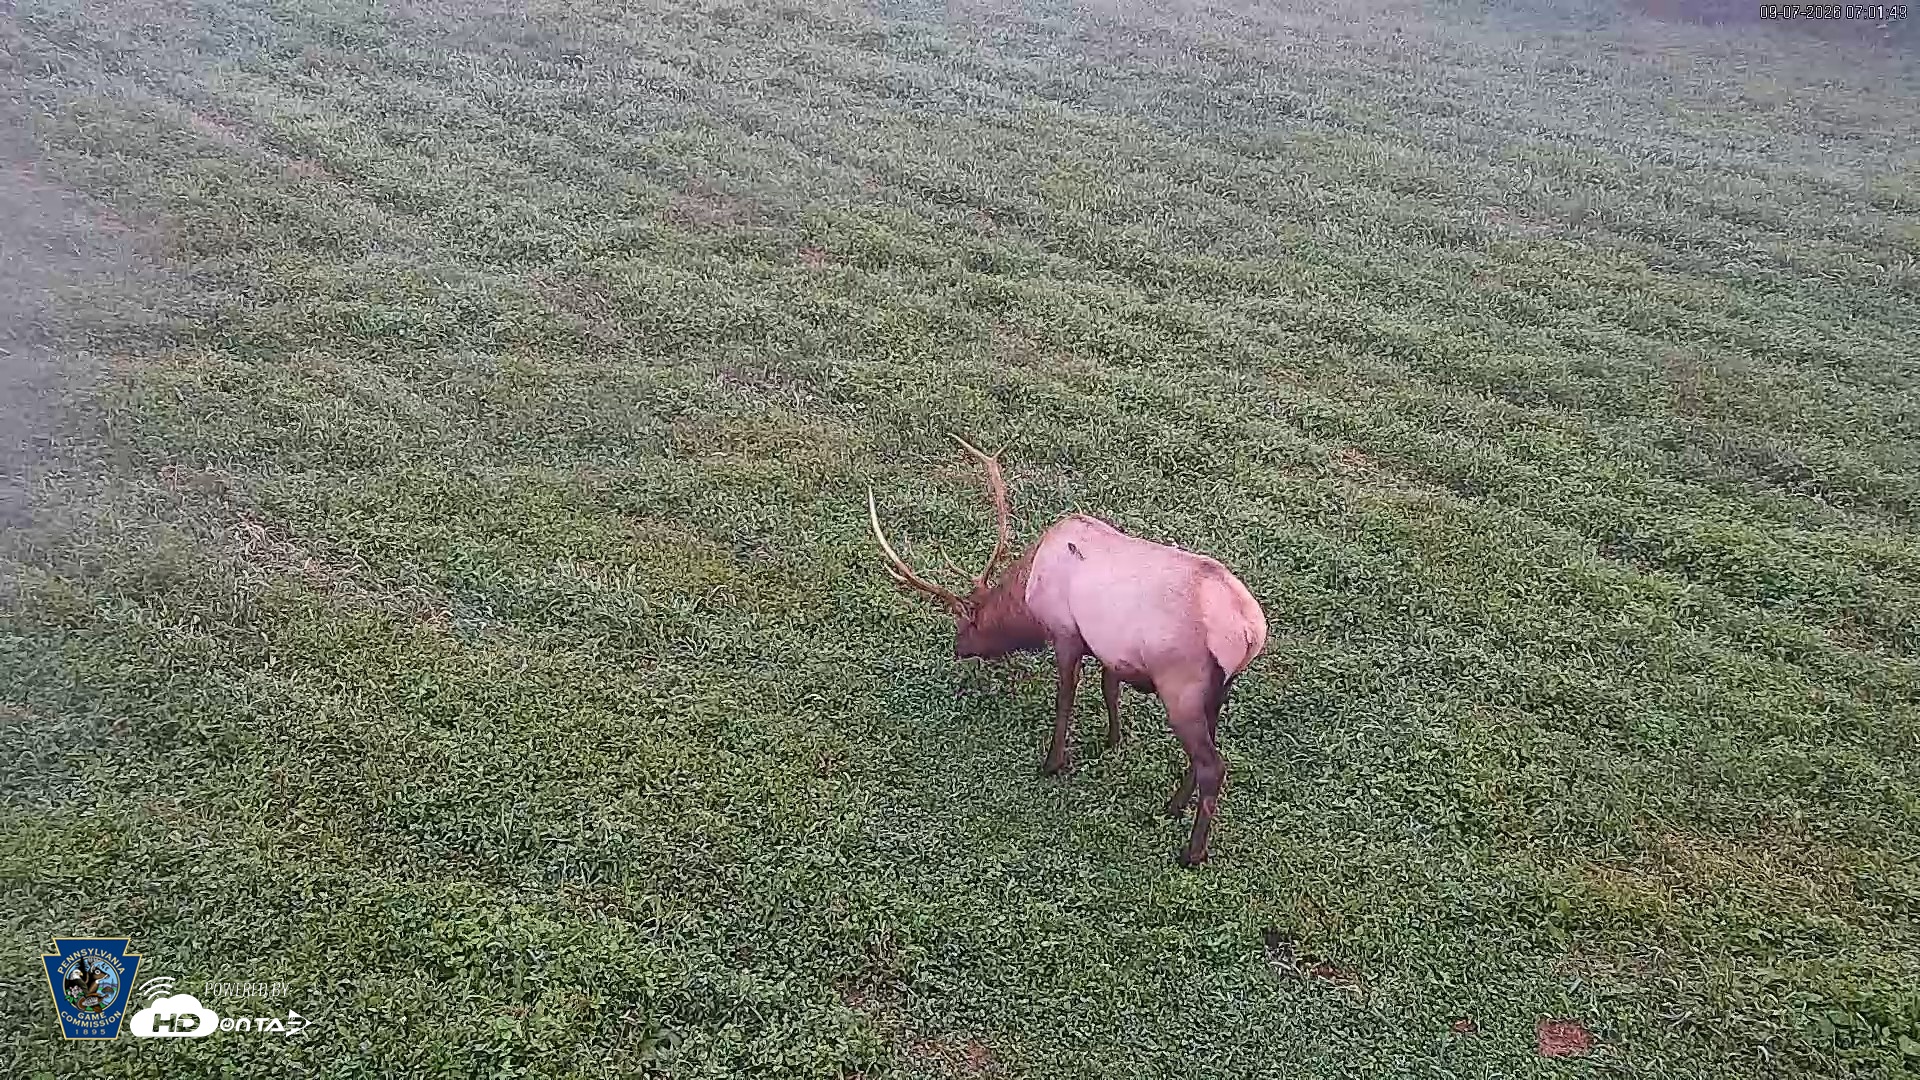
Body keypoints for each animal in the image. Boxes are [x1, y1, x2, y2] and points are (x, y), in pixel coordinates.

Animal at [867, 436, 1268, 867]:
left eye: (968, 622)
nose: (958, 647)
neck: (1029, 594)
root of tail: (1249, 633)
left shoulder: (1066, 633)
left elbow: (1065, 699)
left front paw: (1053, 762)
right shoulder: (1111, 650)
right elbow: (1110, 691)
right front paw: (1112, 741)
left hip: (1182, 685)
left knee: (1213, 765)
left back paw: (1191, 852)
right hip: (1218, 691)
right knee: (1205, 753)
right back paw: (1173, 806)